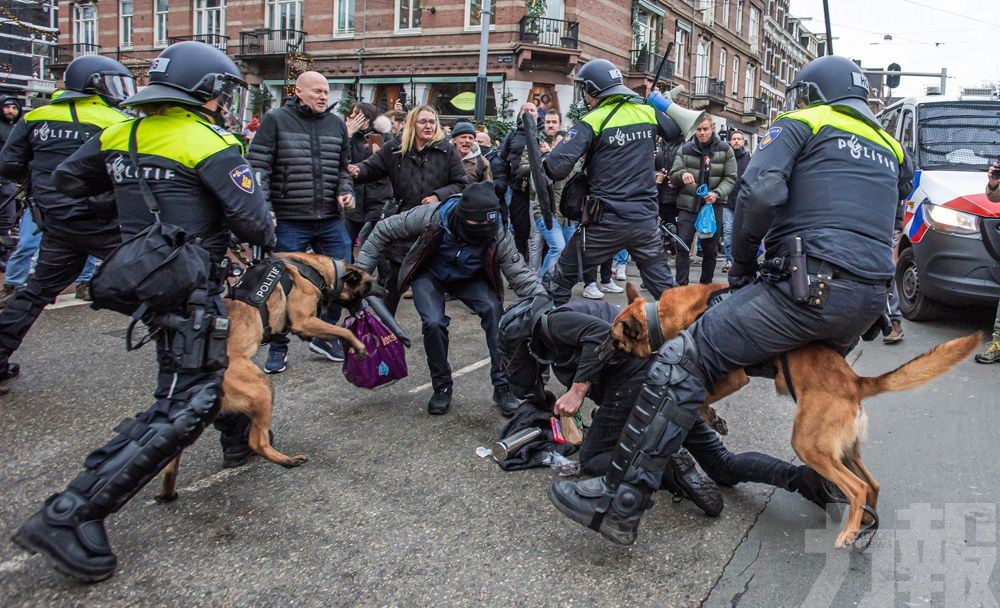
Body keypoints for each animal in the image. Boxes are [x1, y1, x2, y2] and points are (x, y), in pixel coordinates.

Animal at [156, 252, 376, 504]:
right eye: (369, 285)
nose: (384, 289)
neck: (318, 269)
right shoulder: (305, 321)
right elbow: (342, 330)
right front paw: (358, 346)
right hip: (261, 388)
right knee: (257, 440)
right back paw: (286, 460)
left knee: (174, 450)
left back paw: (168, 489)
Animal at [608, 282, 976, 548]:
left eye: (614, 341)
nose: (599, 353)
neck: (665, 314)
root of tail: (855, 382)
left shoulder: (732, 377)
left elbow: (704, 397)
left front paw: (711, 417)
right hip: (844, 450)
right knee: (872, 485)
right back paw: (864, 525)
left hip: (809, 446)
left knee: (857, 488)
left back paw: (849, 530)